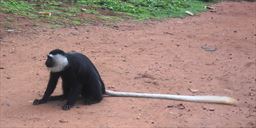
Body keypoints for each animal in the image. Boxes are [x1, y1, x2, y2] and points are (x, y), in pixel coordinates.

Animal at [33, 49, 237, 110]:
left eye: (48, 59)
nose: (44, 62)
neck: (66, 61)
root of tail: (103, 90)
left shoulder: (73, 67)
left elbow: (78, 83)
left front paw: (69, 103)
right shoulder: (59, 69)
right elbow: (52, 82)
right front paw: (44, 99)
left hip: (94, 87)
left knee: (87, 83)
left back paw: (92, 99)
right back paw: (60, 97)